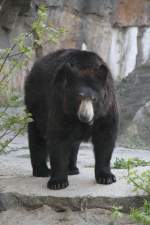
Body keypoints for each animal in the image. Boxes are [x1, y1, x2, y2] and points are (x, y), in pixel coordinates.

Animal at [24, 48, 118, 190]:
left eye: (94, 99)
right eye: (79, 97)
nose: (85, 116)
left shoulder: (106, 110)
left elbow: (105, 137)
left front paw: (106, 177)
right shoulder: (61, 104)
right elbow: (58, 137)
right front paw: (58, 182)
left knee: (73, 143)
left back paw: (72, 168)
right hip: (36, 101)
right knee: (37, 135)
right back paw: (42, 170)